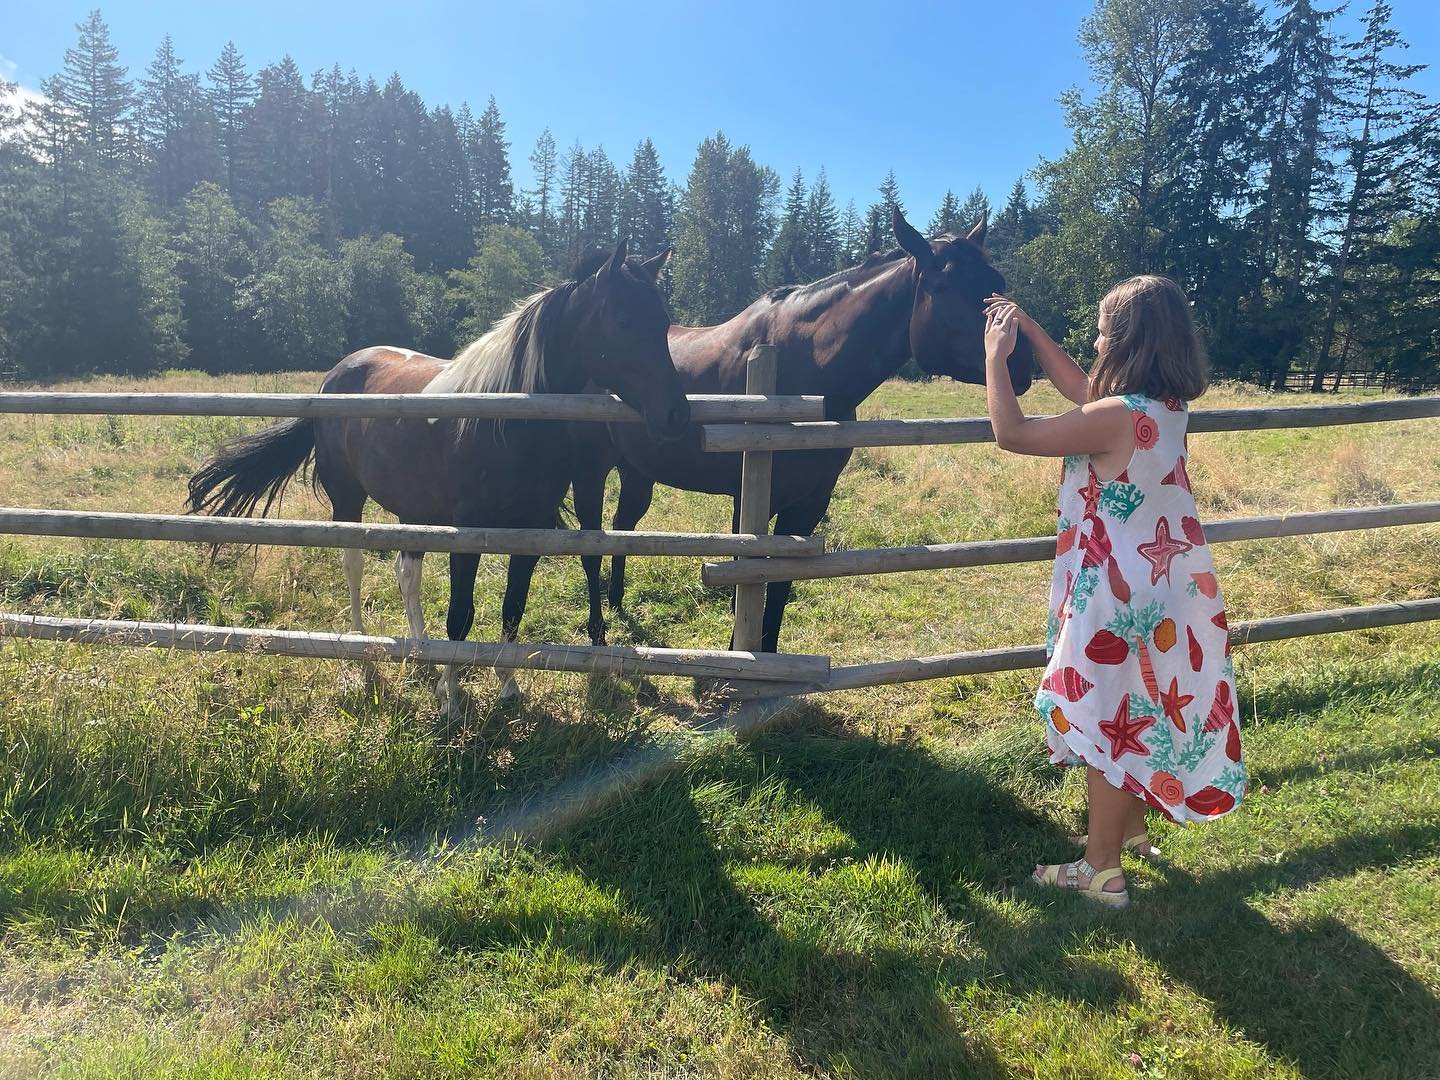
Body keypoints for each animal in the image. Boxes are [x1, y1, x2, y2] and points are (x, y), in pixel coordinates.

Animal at [188, 241, 688, 711]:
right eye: (623, 321)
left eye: (662, 323)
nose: (676, 415)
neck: (506, 421)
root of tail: (335, 377)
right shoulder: (467, 534)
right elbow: (461, 614)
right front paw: (450, 698)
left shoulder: (529, 533)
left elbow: (512, 608)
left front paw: (506, 685)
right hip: (347, 500)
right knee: (354, 565)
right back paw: (362, 653)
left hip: (413, 509)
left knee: (406, 571)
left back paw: (420, 651)